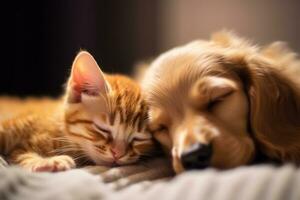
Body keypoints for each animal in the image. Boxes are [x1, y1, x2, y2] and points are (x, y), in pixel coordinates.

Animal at [0, 50, 155, 171]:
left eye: (139, 138)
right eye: (102, 129)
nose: (118, 153)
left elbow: (18, 155)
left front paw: (45, 161)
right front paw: (47, 161)